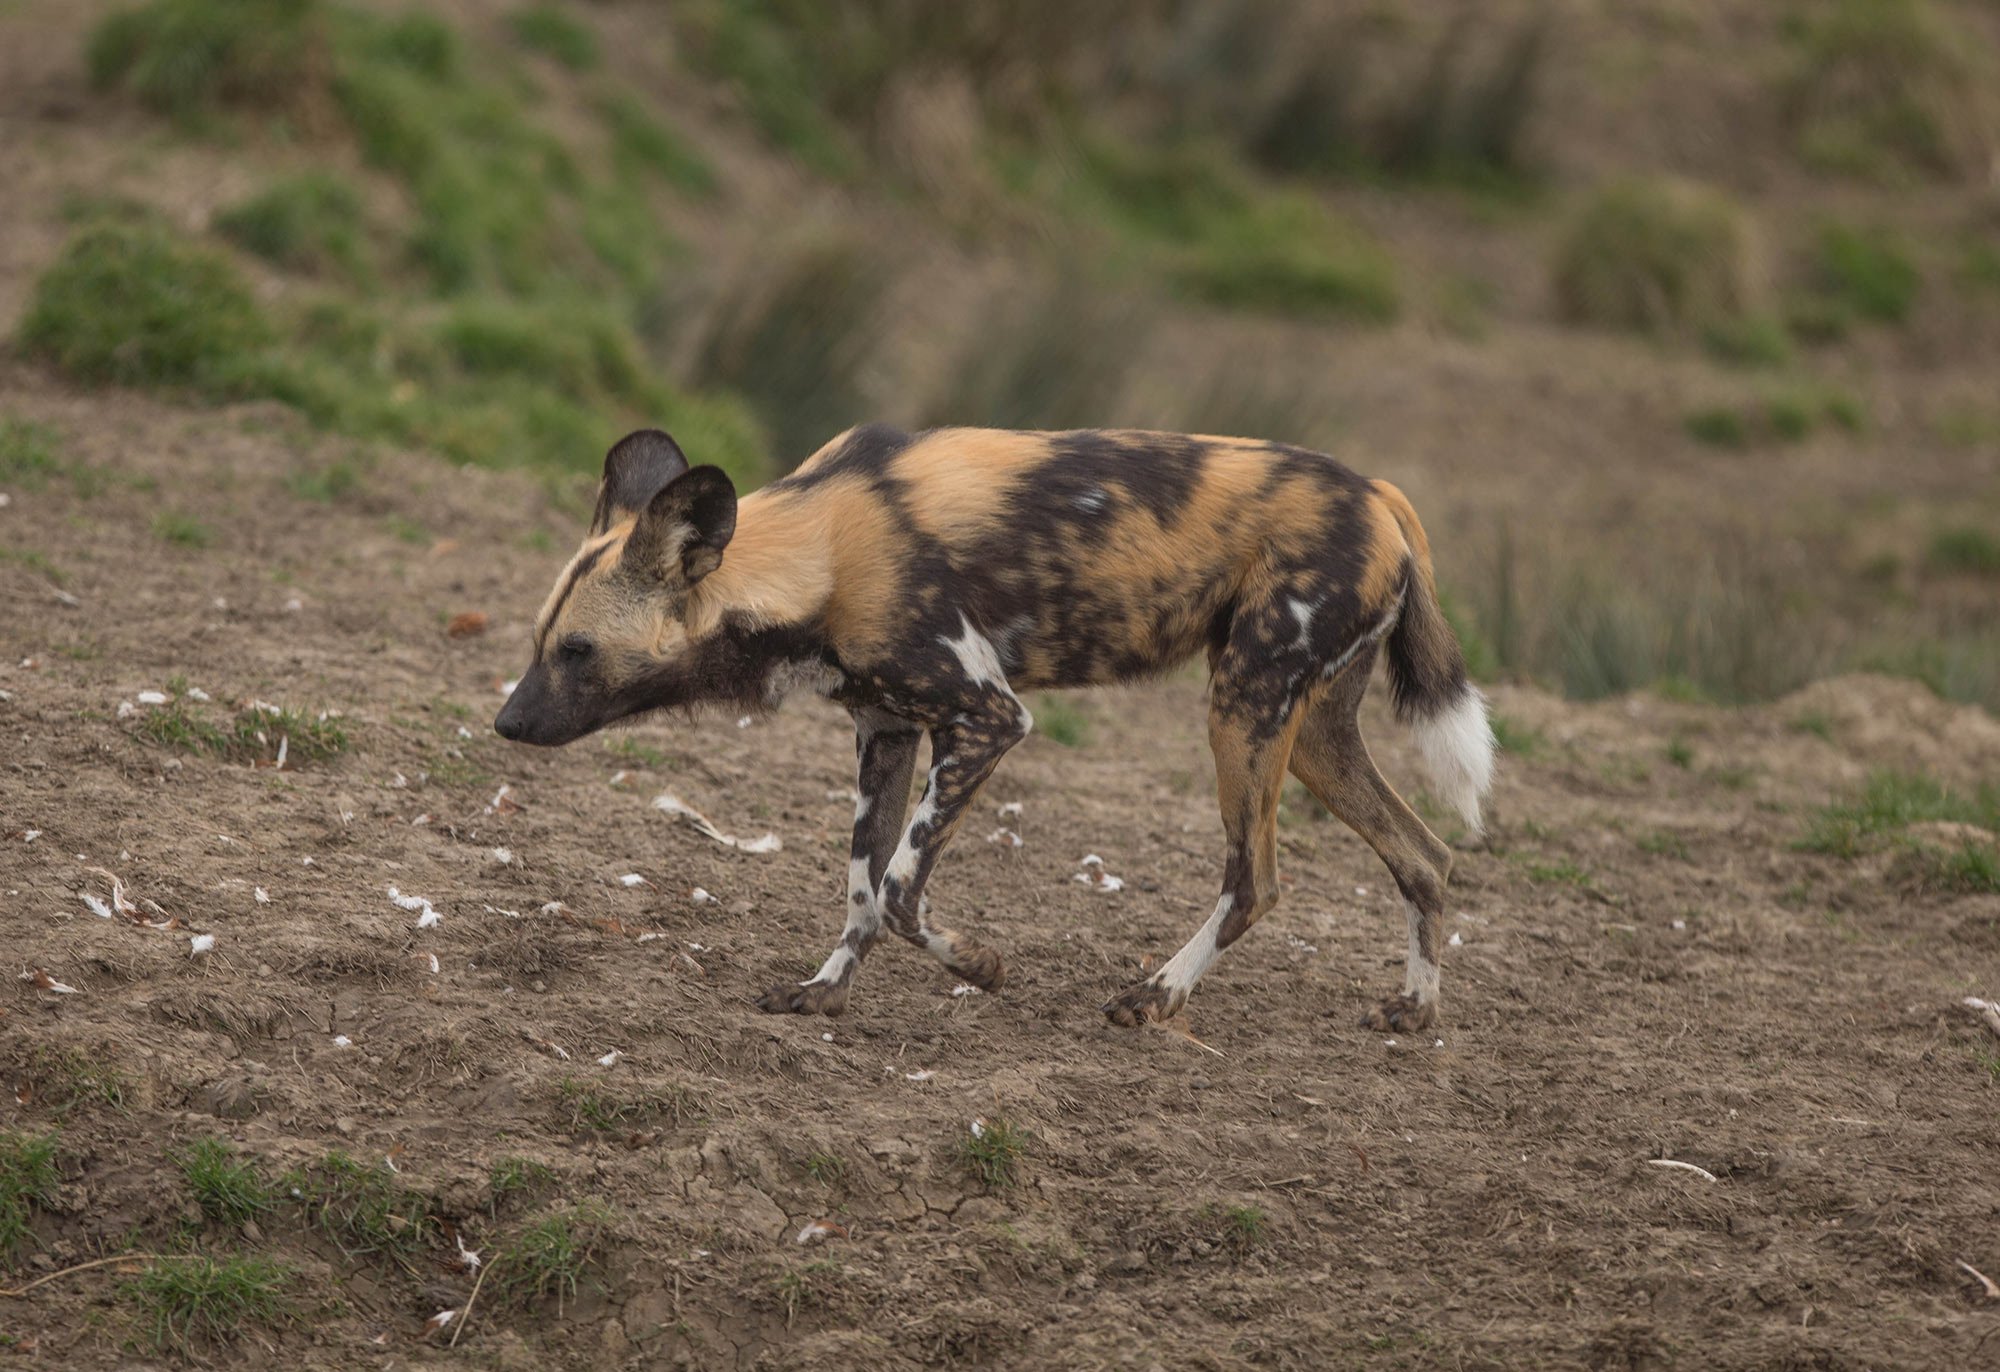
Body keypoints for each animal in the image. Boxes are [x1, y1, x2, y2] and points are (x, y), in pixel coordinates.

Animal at [498, 428, 1496, 1032]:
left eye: (579, 651)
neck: (818, 553)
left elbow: (900, 891)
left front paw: (980, 967)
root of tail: (1381, 493)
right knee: (1425, 856)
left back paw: (1154, 994)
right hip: (1313, 734)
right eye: (540, 639)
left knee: (1255, 879)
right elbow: (861, 889)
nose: (506, 722)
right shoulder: (885, 732)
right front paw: (825, 991)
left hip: (1243, 707)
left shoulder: (986, 720)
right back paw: (1414, 1013)